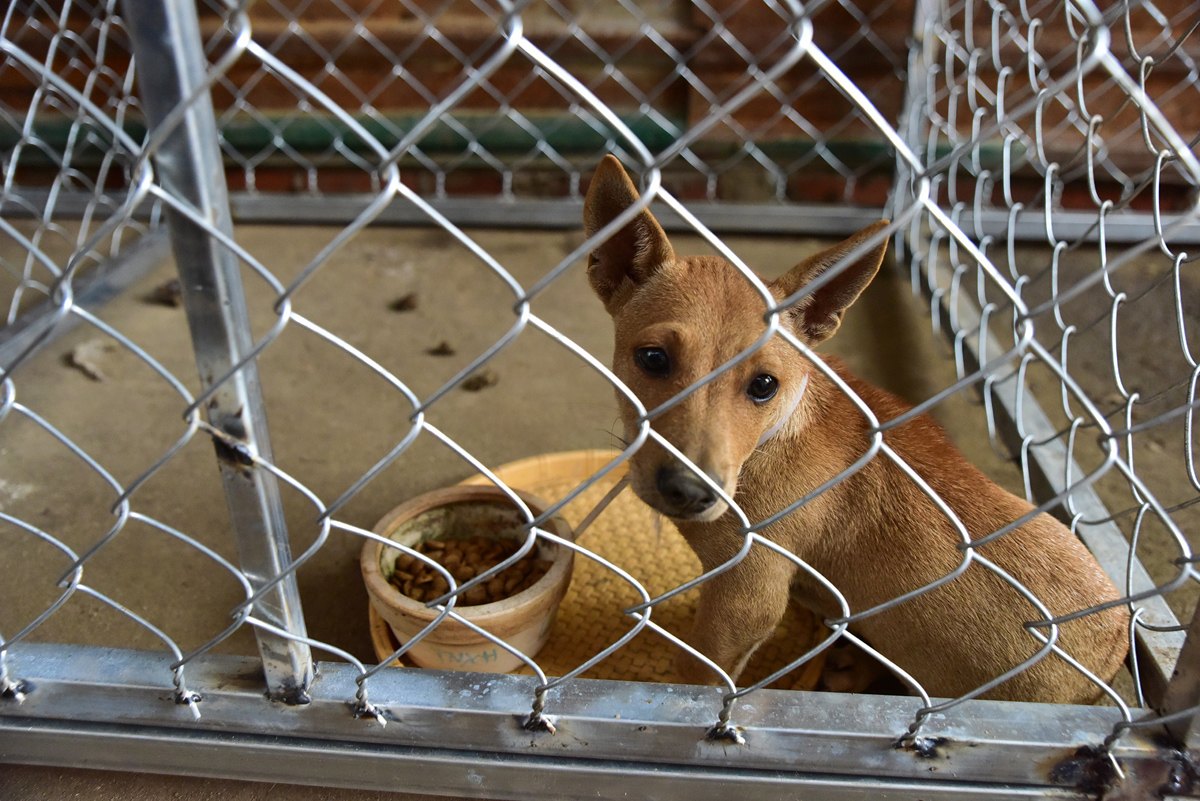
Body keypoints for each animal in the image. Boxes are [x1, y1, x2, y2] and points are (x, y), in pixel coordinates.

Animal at [585, 154, 1128, 700]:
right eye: (653, 359)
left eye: (764, 385)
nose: (688, 491)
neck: (772, 437)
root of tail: (1115, 650)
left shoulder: (744, 598)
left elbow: (697, 672)